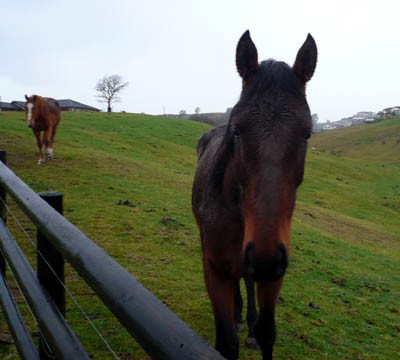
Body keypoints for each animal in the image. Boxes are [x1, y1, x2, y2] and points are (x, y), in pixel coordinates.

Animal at [192, 31, 318, 360]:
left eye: (307, 134)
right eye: (237, 131)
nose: (265, 257)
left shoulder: (275, 274)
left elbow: (267, 333)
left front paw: (254, 331)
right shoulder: (214, 271)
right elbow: (226, 343)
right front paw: (235, 322)